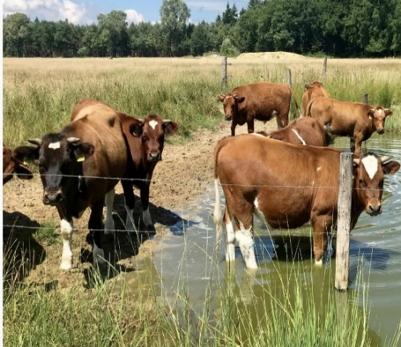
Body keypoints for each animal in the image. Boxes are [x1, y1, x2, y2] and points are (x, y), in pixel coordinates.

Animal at [14, 102, 126, 270]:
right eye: (40, 165)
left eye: (67, 163)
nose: (52, 196)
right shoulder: (61, 202)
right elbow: (66, 230)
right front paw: (66, 261)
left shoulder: (97, 197)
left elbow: (94, 225)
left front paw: (99, 257)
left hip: (112, 180)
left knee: (110, 198)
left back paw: (109, 226)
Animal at [71, 99, 178, 232]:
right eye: (144, 137)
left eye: (161, 137)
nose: (154, 155)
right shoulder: (126, 178)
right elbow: (130, 201)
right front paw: (130, 226)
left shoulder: (148, 176)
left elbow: (145, 198)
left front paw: (148, 222)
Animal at [212, 135, 396, 270]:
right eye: (361, 181)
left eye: (381, 180)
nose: (375, 207)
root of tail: (229, 140)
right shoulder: (320, 215)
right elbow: (319, 250)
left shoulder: (339, 220)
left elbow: (337, 246)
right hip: (242, 203)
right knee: (245, 241)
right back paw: (254, 270)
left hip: (231, 202)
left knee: (229, 233)